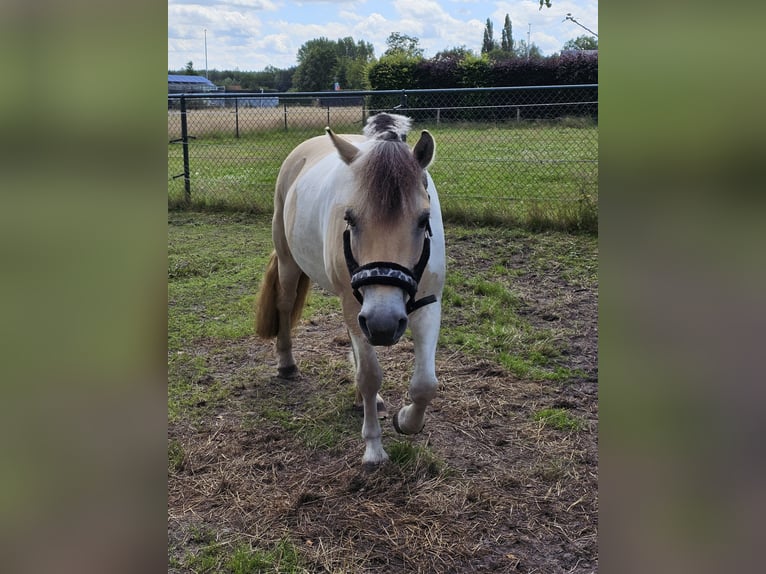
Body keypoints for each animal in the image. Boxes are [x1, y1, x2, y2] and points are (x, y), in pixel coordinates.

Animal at [254, 113, 446, 466]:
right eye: (351, 218)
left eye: (423, 219)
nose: (383, 324)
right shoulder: (358, 307)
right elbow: (369, 375)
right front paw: (373, 447)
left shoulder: (428, 303)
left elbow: (425, 384)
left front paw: (405, 420)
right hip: (291, 262)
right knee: (285, 304)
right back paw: (286, 364)